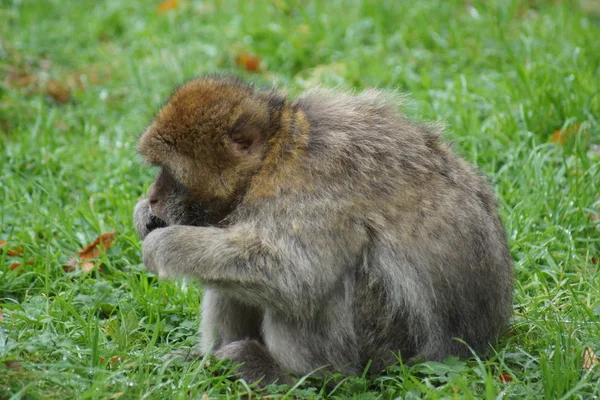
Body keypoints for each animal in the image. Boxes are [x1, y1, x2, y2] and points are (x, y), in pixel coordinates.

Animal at [134, 76, 512, 388]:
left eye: (170, 172)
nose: (153, 196)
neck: (274, 154)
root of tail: (482, 341)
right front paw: (144, 216)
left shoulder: (308, 184)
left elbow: (297, 275)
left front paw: (164, 245)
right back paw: (208, 361)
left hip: (383, 345)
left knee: (318, 287)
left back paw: (295, 375)